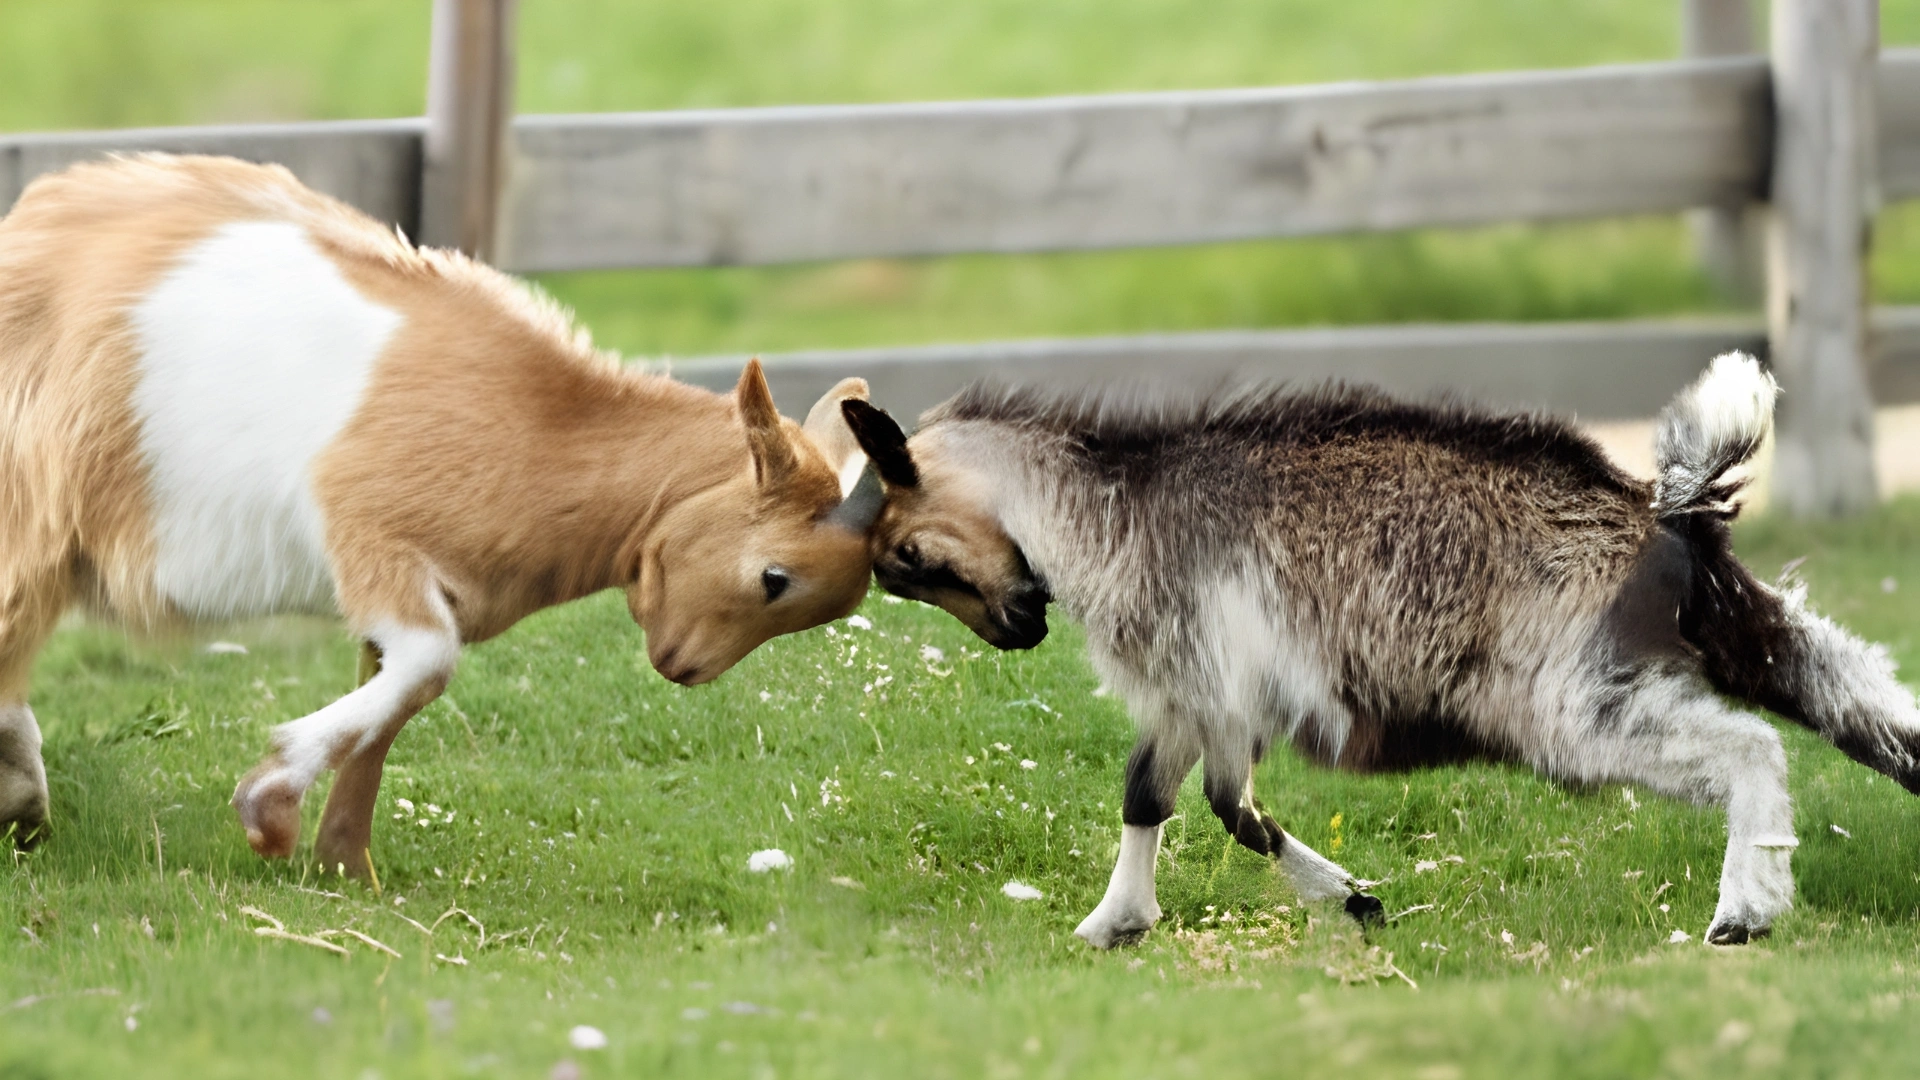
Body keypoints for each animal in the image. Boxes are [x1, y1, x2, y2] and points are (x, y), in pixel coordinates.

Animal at [0, 154, 880, 872]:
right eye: (774, 578)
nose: (681, 666)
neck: (539, 428)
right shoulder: (368, 538)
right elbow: (429, 663)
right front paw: (271, 802)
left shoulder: (421, 599)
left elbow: (392, 704)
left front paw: (345, 864)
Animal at [837, 354, 1920, 947]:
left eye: (906, 553)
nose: (1020, 624)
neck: (1108, 506)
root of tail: (1660, 514)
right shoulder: (1208, 697)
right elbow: (1196, 803)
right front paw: (1341, 903)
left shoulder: (1201, 676)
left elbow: (1189, 799)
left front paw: (1125, 920)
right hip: (1741, 630)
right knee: (1871, 708)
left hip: (1567, 702)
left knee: (1747, 745)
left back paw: (1744, 911)